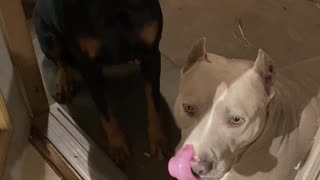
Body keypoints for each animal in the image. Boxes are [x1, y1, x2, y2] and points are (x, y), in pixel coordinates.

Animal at [33, 0, 168, 165]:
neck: (113, 6)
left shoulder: (151, 53)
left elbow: (153, 102)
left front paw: (158, 140)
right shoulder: (89, 66)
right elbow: (104, 110)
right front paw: (117, 146)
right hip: (49, 38)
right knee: (62, 61)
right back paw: (64, 83)